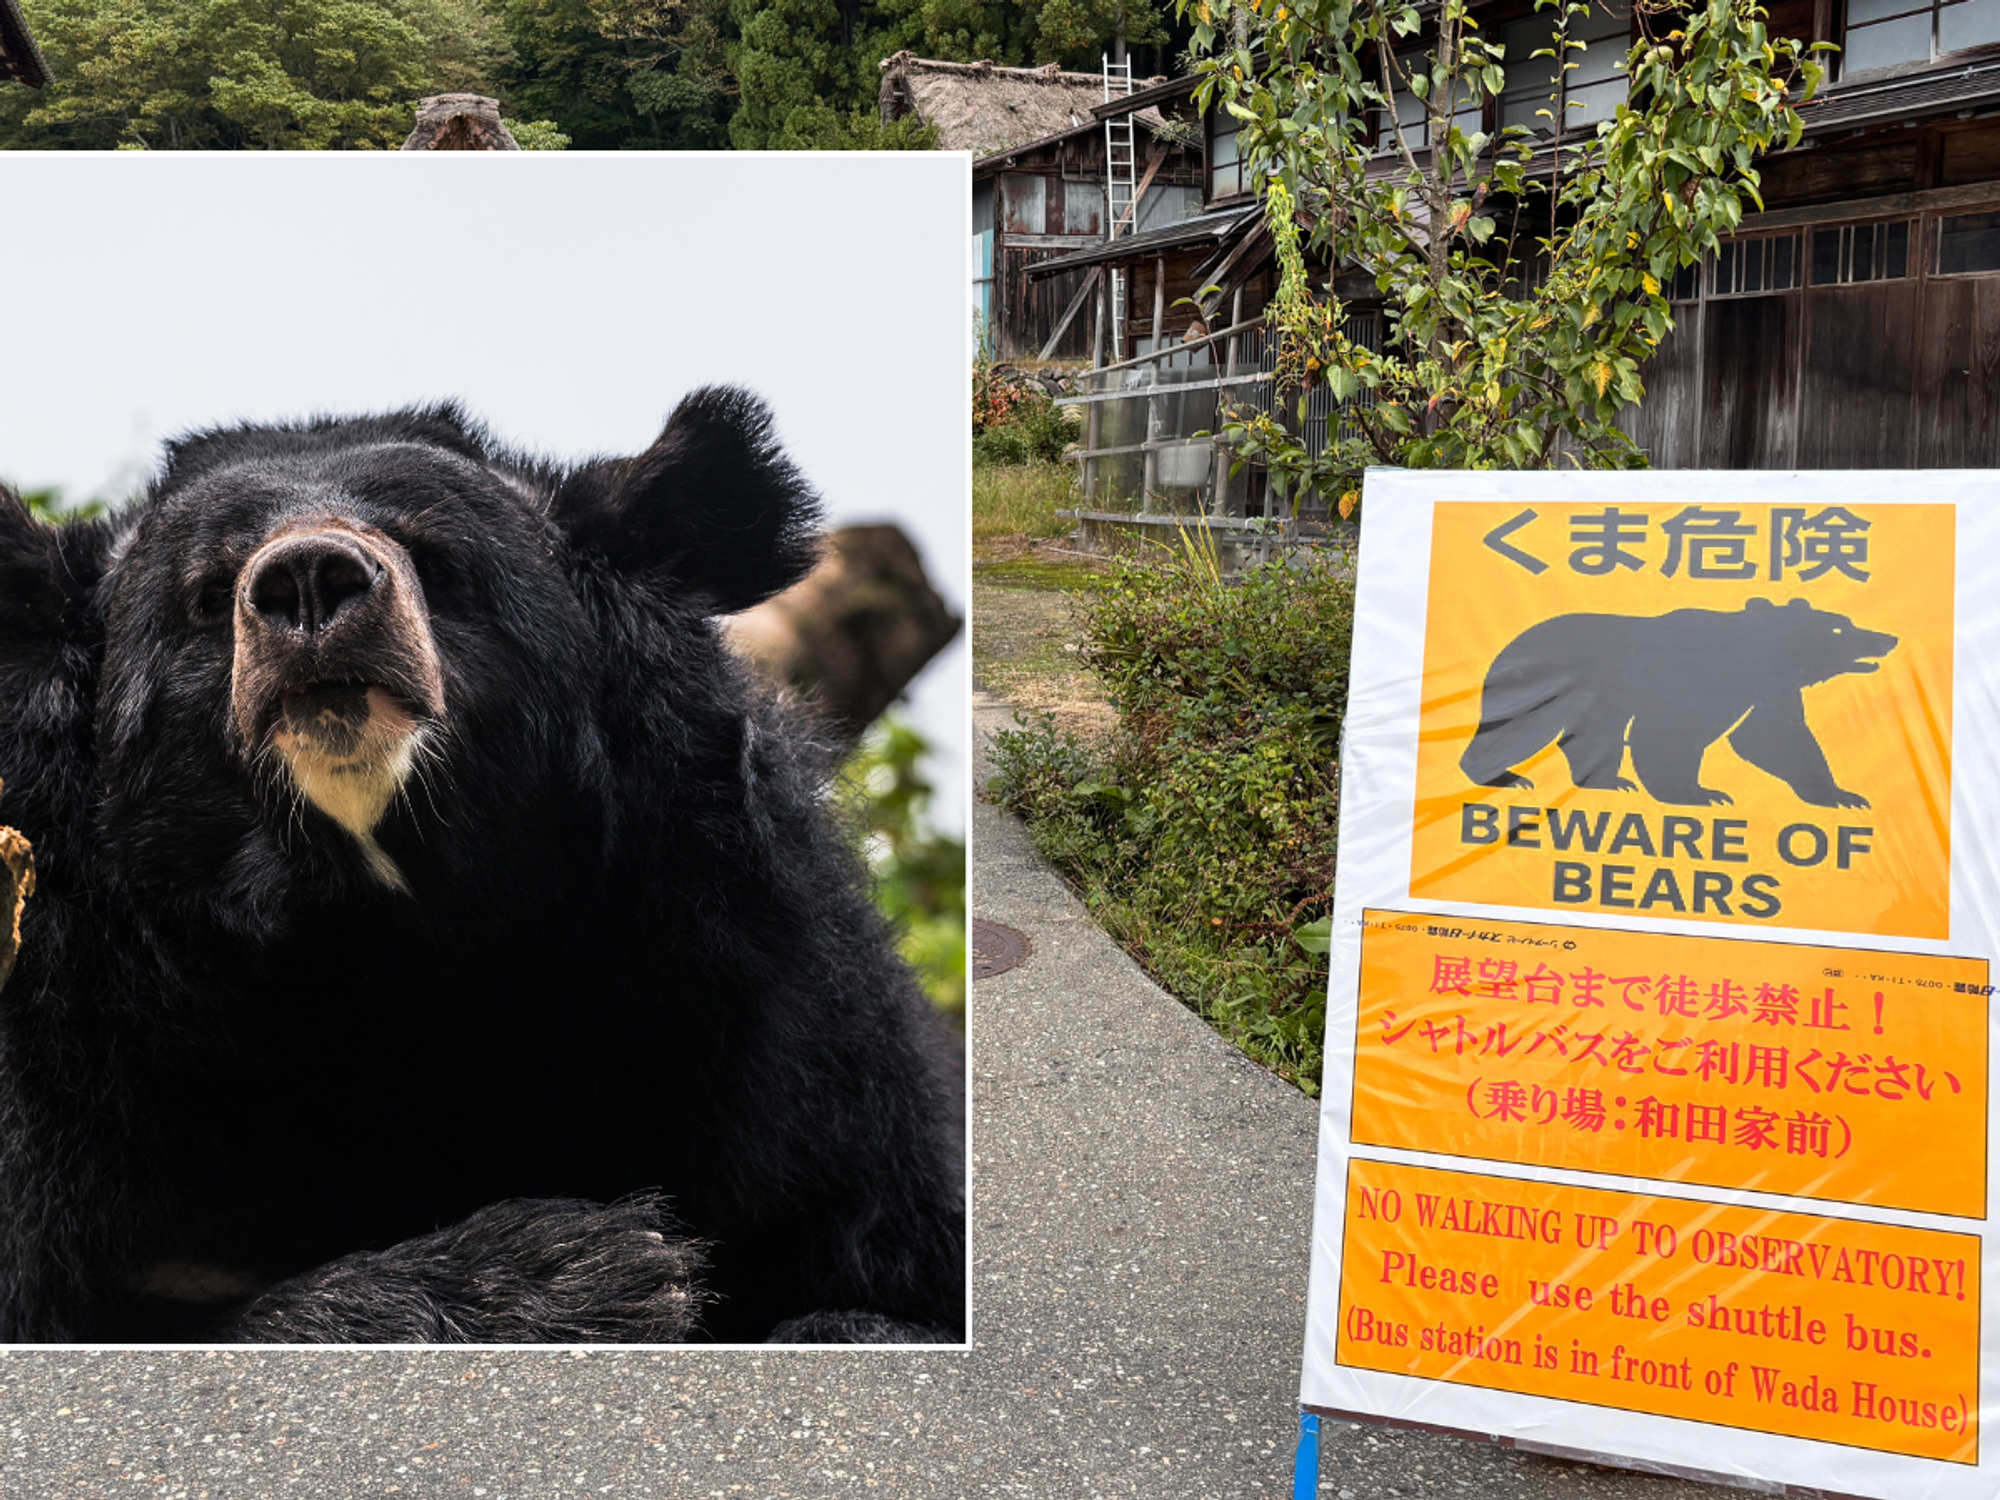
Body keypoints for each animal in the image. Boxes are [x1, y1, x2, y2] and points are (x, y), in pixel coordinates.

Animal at [0, 388, 965, 1344]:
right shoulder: (59, 1027)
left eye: (437, 560)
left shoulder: (784, 1024)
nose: (309, 578)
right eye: (205, 594)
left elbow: (885, 1264)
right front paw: (590, 1272)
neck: (385, 944)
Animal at [1459, 597, 1897, 809]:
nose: (1888, 637)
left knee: (1595, 733)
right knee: (1517, 729)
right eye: (1840, 627)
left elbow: (1774, 737)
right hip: (1541, 683)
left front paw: (1844, 796)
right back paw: (1505, 776)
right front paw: (1700, 793)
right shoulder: (1690, 677)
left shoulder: (1769, 690)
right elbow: (1670, 735)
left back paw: (1609, 781)